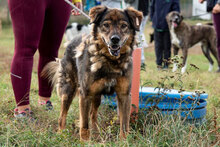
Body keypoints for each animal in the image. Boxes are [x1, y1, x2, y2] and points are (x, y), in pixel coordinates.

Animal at [42, 6, 144, 141]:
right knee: (62, 115)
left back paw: (96, 134)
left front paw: (124, 140)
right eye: (106, 25)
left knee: (93, 115)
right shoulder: (86, 94)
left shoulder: (124, 94)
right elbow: (84, 123)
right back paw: (61, 134)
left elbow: (124, 123)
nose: (115, 39)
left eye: (124, 26)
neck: (110, 61)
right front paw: (85, 141)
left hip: (96, 96)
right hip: (68, 90)